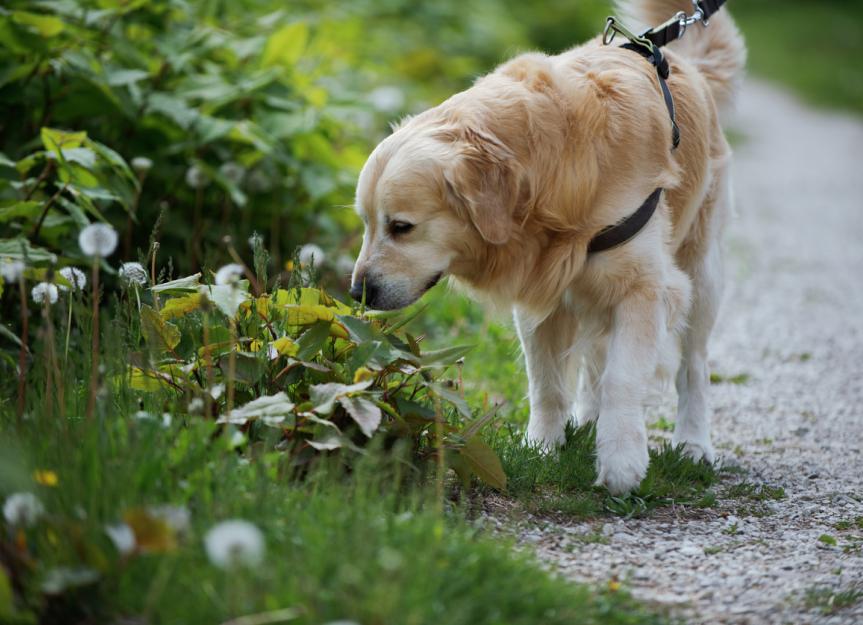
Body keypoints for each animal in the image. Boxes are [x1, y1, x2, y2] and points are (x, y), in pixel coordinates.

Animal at [348, 0, 744, 494]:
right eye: (366, 223)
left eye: (401, 227)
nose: (357, 292)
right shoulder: (542, 290)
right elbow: (547, 382)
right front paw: (543, 447)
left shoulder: (646, 288)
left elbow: (622, 376)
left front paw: (621, 461)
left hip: (700, 272)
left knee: (692, 365)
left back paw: (693, 443)